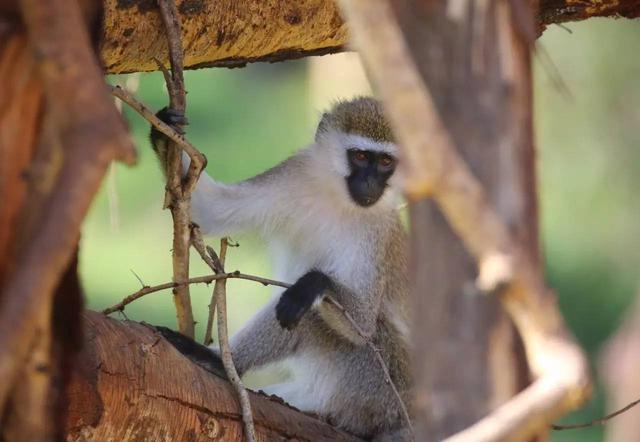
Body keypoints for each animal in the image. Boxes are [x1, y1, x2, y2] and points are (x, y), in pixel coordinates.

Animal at [150, 98, 410, 440]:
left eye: (386, 163)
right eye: (361, 156)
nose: (370, 184)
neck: (337, 197)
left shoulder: (377, 232)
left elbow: (363, 324)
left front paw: (313, 284)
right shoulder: (294, 173)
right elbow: (215, 211)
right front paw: (163, 132)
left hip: (380, 386)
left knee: (309, 314)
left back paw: (219, 362)